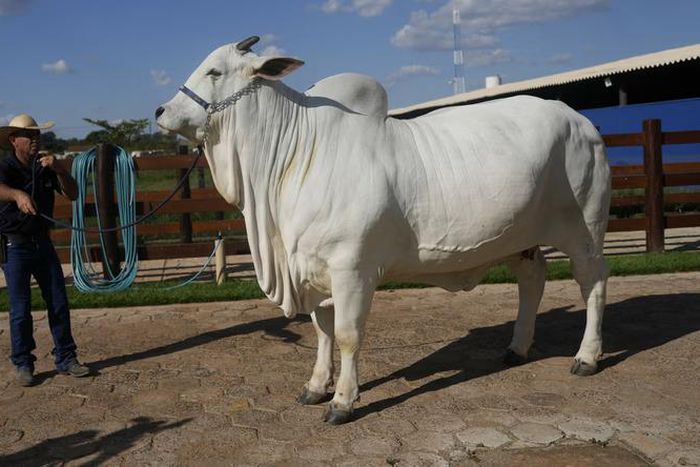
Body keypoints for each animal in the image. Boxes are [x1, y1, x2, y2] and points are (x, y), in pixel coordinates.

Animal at [156, 36, 611, 425]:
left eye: (214, 71)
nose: (160, 112)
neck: (293, 157)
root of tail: (580, 120)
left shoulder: (351, 269)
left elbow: (347, 335)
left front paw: (343, 401)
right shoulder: (314, 269)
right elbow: (322, 332)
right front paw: (316, 387)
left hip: (584, 231)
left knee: (593, 284)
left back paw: (587, 357)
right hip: (523, 239)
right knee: (533, 280)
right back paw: (517, 347)